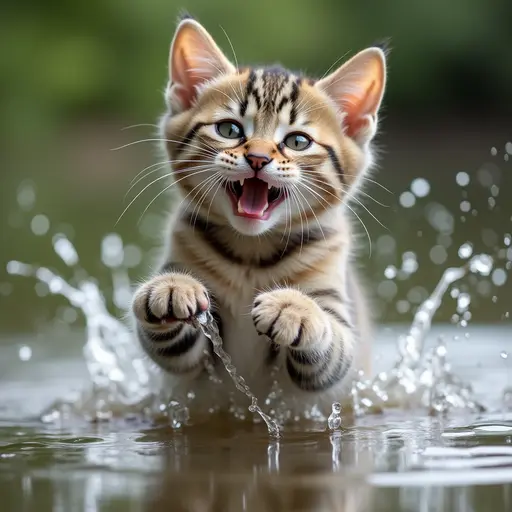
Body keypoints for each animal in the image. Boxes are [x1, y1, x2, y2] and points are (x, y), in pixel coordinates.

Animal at [130, 16, 386, 414]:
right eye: (229, 129)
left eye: (297, 141)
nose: (258, 158)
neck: (251, 254)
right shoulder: (194, 354)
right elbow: (174, 349)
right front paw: (172, 286)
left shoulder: (337, 327)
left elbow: (331, 348)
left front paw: (294, 309)